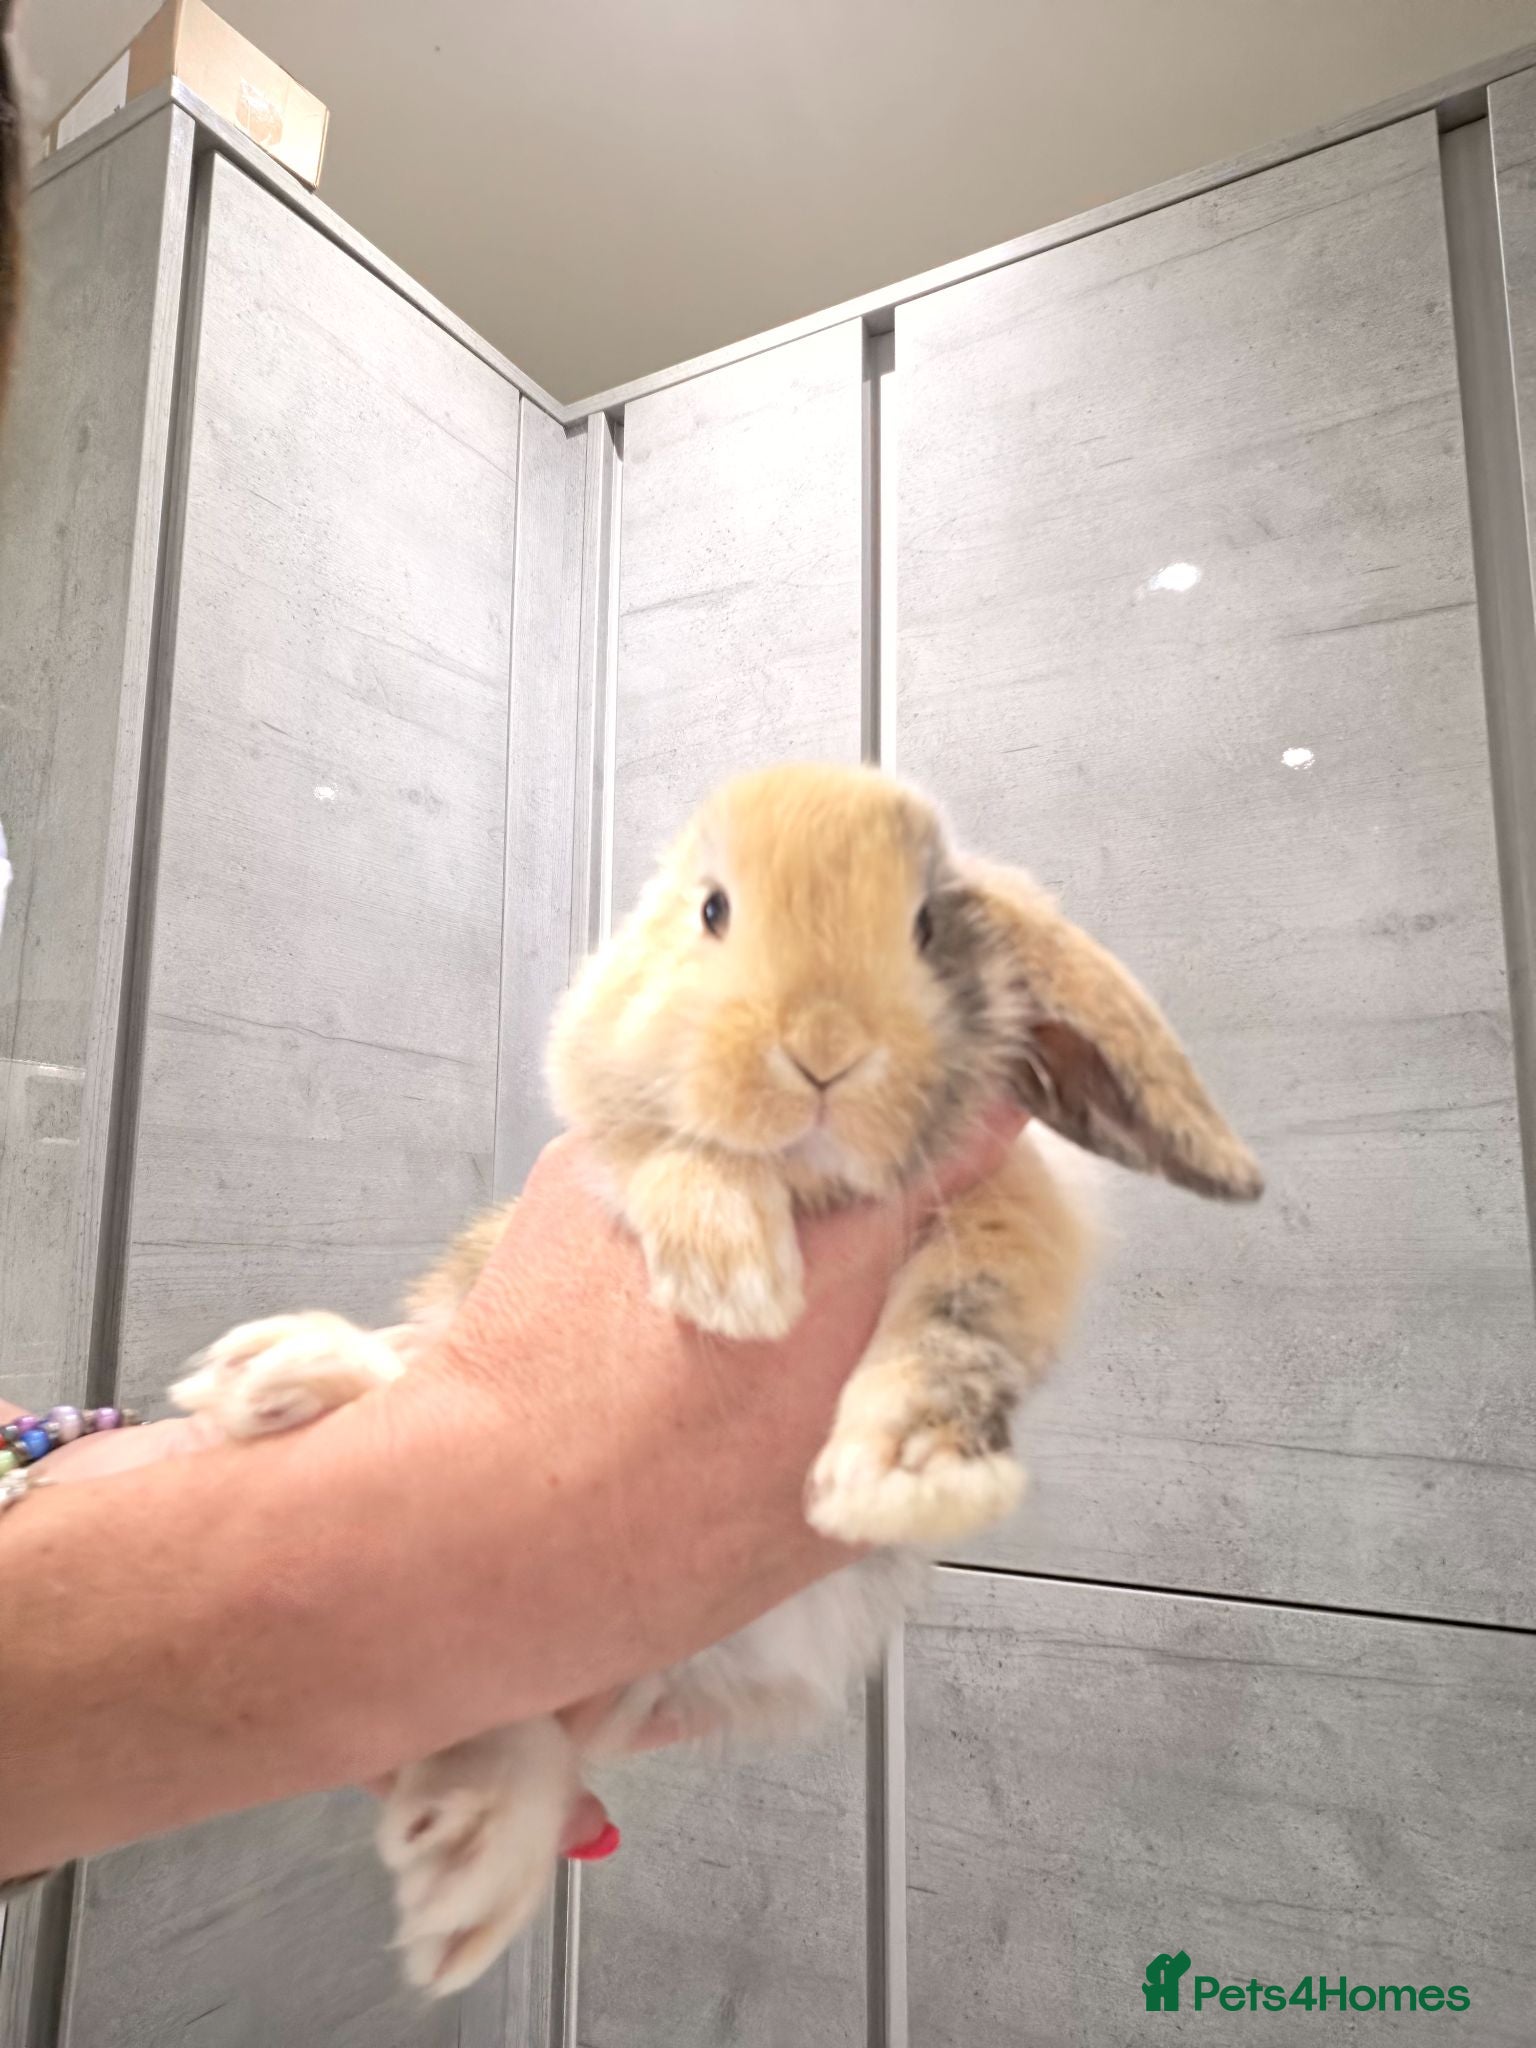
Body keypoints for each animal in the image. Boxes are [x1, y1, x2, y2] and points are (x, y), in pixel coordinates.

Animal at [169, 760, 1262, 1994]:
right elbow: (668, 1151)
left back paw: (467, 1851)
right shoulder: (607, 1113)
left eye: (926, 926)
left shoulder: (1012, 1221)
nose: (825, 1047)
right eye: (713, 909)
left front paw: (903, 1472)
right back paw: (282, 1375)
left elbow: (954, 1329)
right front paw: (735, 1274)